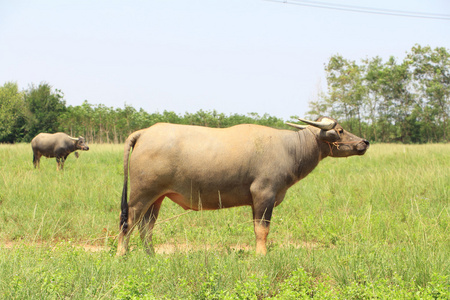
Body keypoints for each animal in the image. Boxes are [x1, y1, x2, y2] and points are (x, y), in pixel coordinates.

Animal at [116, 117, 370, 255]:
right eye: (340, 130)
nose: (364, 142)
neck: (290, 148)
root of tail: (145, 133)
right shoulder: (264, 194)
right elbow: (263, 229)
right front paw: (262, 256)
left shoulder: (256, 201)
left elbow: (257, 229)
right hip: (141, 195)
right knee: (128, 222)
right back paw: (122, 255)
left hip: (157, 198)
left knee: (146, 227)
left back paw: (151, 256)